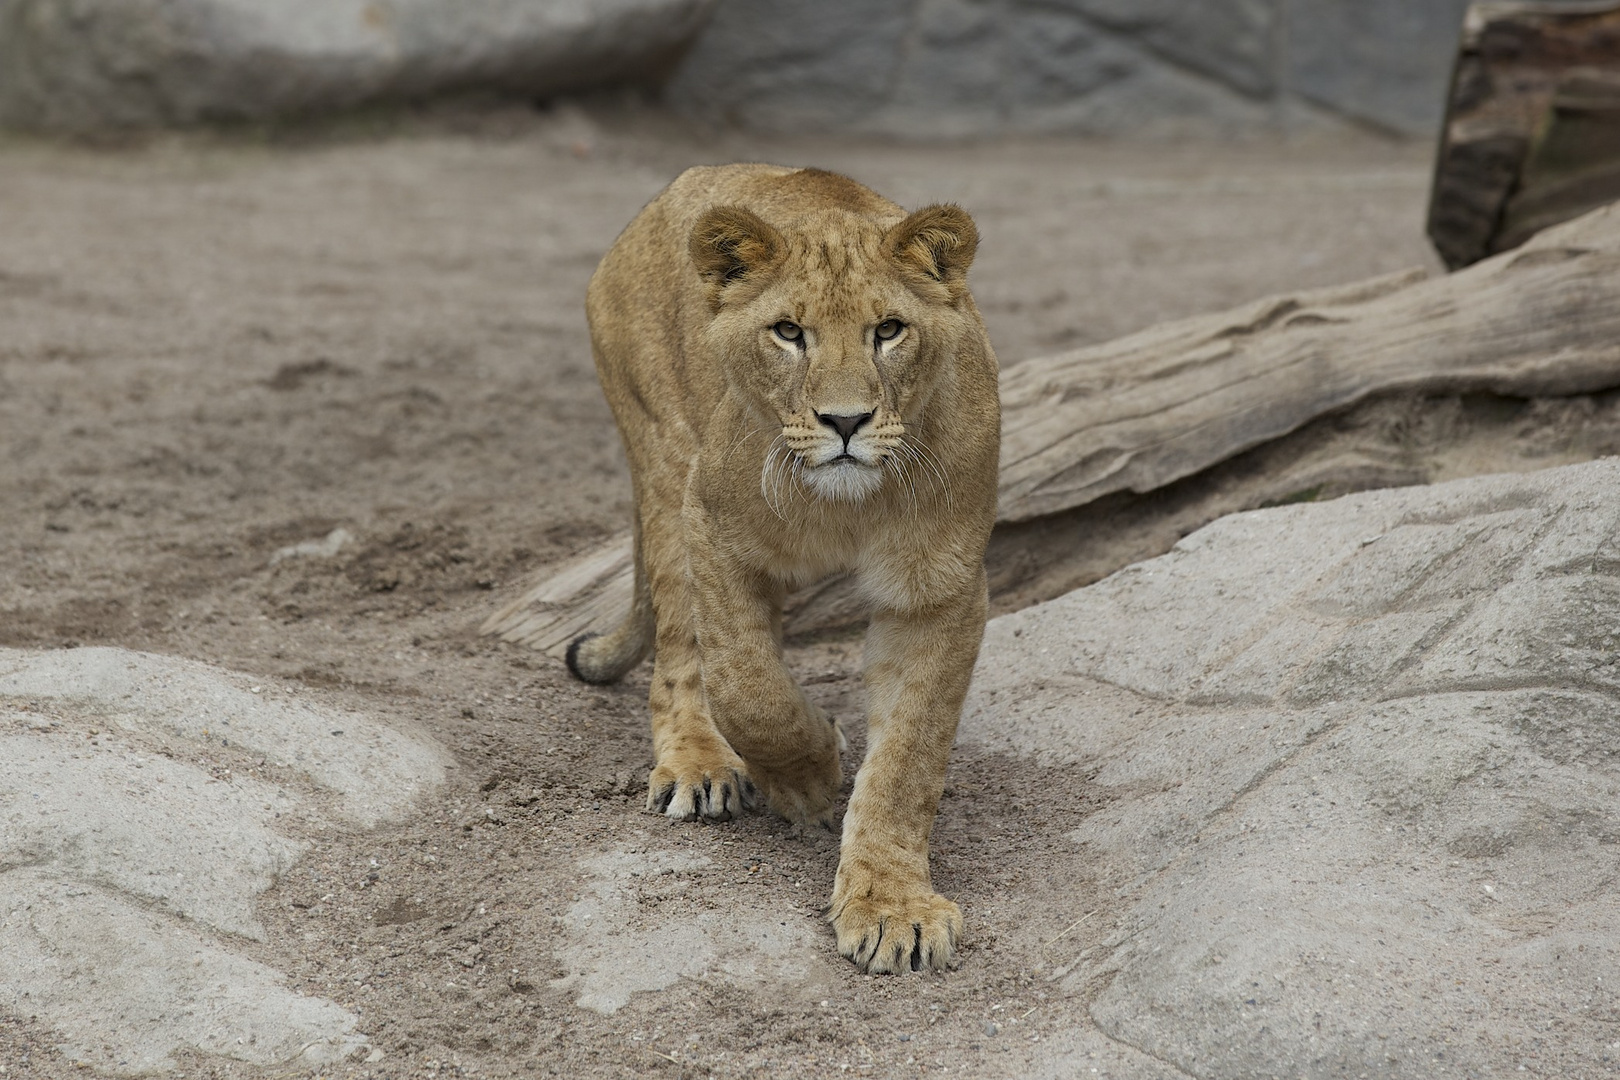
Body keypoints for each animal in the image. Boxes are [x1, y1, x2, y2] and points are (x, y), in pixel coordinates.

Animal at [570, 162, 997, 977]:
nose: (845, 422)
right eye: (789, 332)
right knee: (681, 652)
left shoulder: (940, 587)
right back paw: (699, 766)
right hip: (666, 463)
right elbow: (748, 688)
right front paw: (810, 775)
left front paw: (892, 906)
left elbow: (909, 754)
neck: (849, 509)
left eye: (888, 330)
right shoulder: (713, 527)